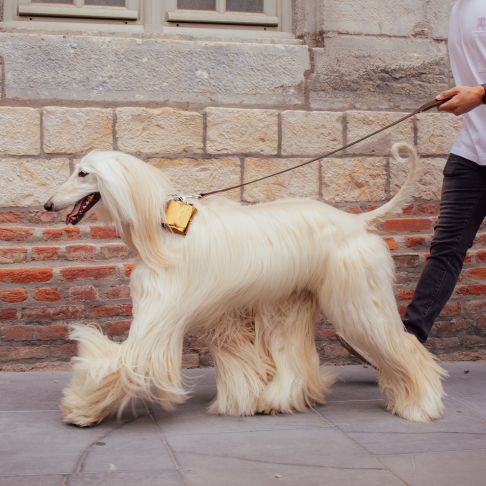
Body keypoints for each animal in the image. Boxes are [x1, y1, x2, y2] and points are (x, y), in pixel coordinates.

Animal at [43, 142, 445, 426]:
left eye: (83, 173)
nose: (47, 204)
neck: (158, 230)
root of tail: (357, 221)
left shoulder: (161, 313)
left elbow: (127, 358)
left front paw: (80, 408)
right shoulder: (224, 316)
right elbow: (240, 360)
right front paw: (243, 401)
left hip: (357, 297)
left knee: (403, 345)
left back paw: (420, 404)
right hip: (292, 300)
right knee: (292, 353)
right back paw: (281, 399)